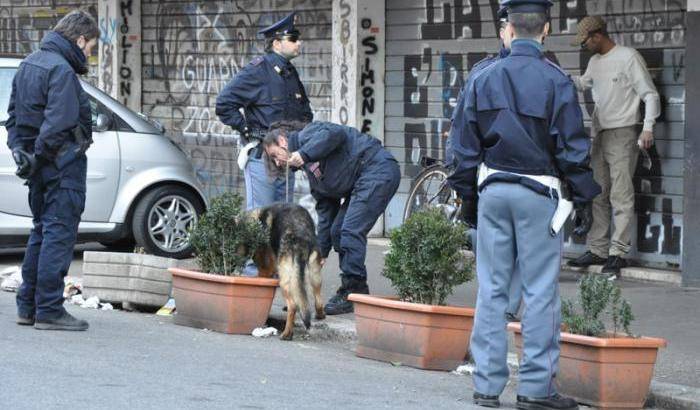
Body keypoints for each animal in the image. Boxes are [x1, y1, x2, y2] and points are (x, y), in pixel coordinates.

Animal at [252, 203, 326, 342]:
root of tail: (301, 240)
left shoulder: (267, 268)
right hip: (314, 273)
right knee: (317, 297)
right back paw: (320, 314)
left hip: (285, 278)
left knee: (293, 305)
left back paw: (287, 333)